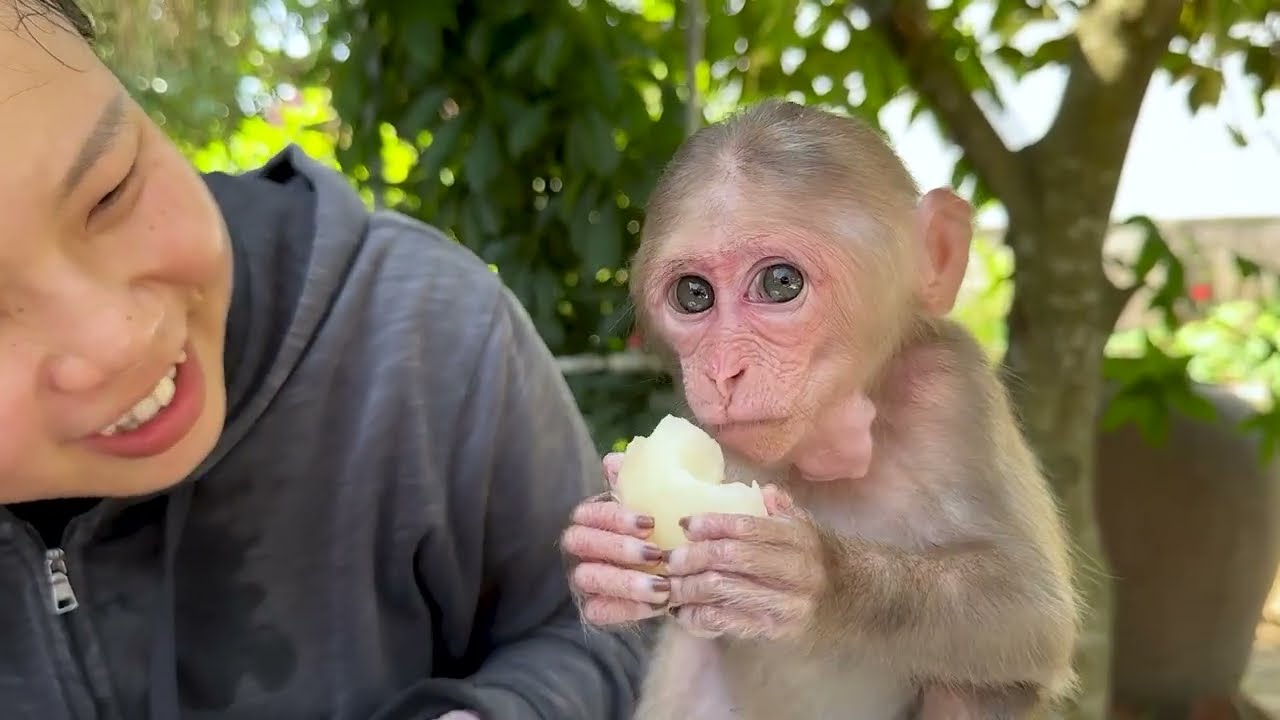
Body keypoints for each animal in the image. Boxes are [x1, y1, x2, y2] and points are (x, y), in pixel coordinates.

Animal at [560, 99, 1079, 720]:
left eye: (781, 282)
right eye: (693, 294)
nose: (722, 370)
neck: (834, 449)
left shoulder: (952, 388)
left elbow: (1037, 614)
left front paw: (819, 577)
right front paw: (601, 555)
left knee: (986, 685)